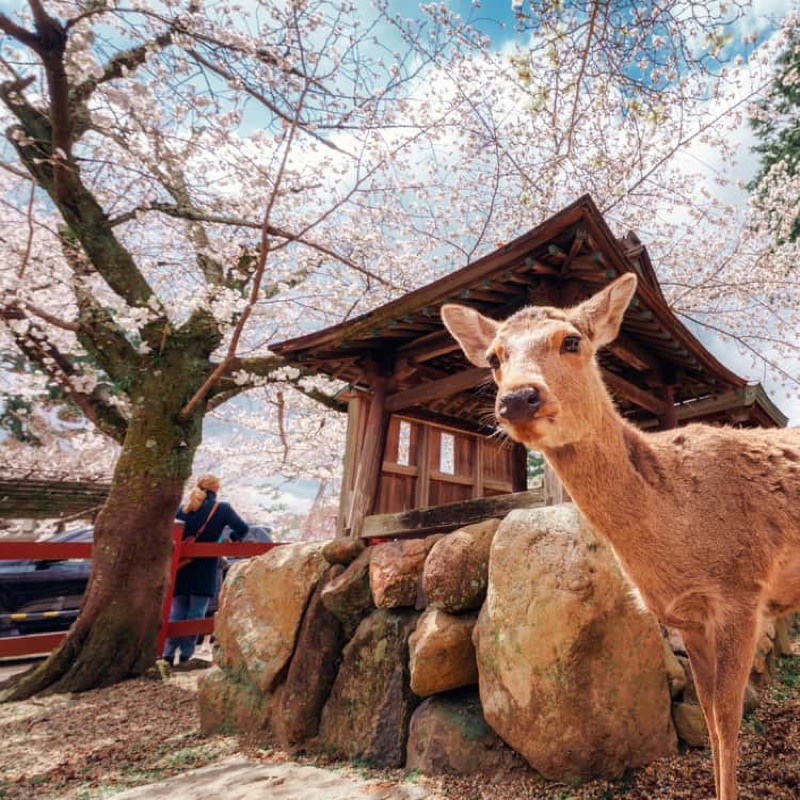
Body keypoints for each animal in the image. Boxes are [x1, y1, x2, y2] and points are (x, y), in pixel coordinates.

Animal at [441, 273, 800, 800]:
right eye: (493, 357)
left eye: (571, 340)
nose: (518, 399)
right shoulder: (689, 619)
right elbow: (711, 721)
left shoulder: (742, 591)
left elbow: (728, 723)